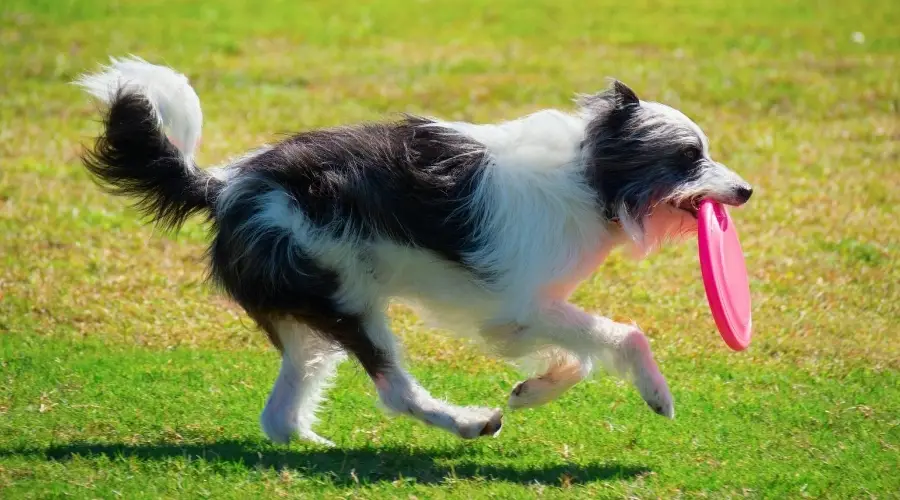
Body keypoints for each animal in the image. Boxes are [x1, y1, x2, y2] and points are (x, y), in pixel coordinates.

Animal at [75, 55, 752, 446]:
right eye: (688, 157)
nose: (746, 191)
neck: (589, 176)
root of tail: (226, 186)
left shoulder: (516, 315)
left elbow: (578, 358)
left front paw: (534, 389)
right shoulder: (521, 306)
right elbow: (625, 335)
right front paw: (655, 393)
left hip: (312, 319)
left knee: (282, 413)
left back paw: (310, 446)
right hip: (347, 300)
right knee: (394, 392)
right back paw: (468, 422)